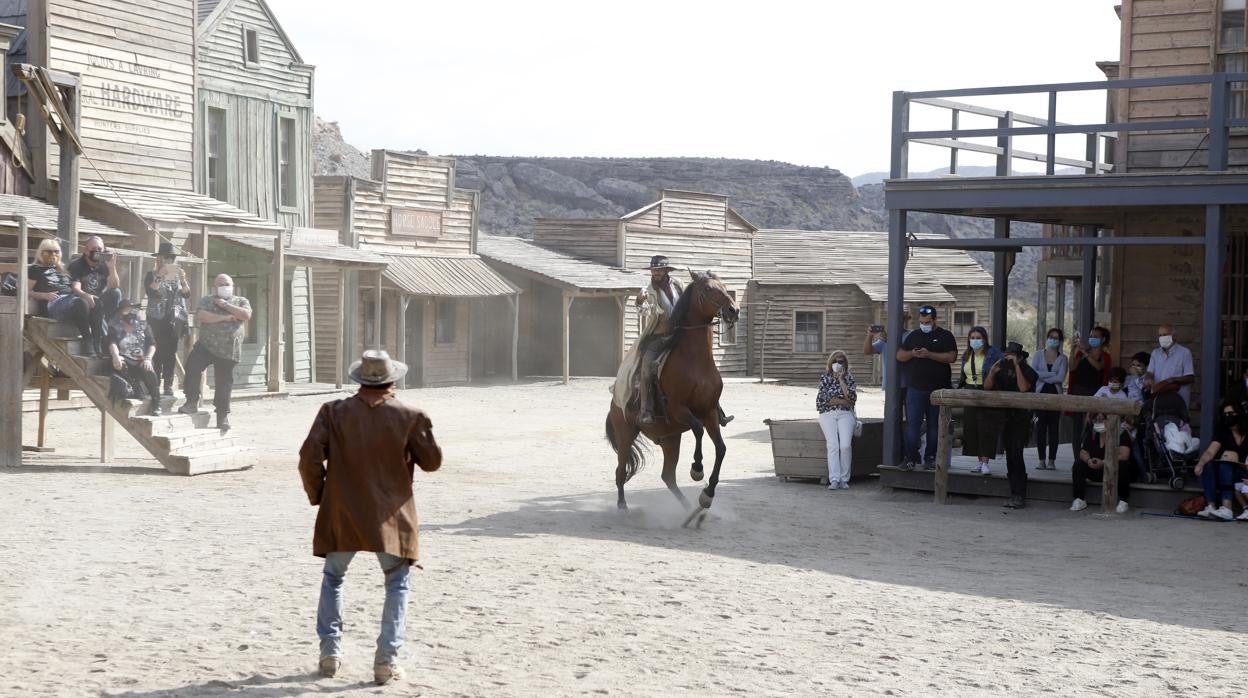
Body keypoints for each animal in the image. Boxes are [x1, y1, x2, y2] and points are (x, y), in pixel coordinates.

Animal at [606, 270, 738, 526]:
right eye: (707, 289)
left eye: (724, 285)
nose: (733, 310)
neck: (695, 361)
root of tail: (613, 403)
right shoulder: (679, 409)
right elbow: (697, 430)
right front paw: (697, 469)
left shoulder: (709, 413)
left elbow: (721, 448)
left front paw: (707, 496)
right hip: (626, 433)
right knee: (620, 471)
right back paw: (623, 507)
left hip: (670, 438)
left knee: (668, 477)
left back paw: (692, 511)